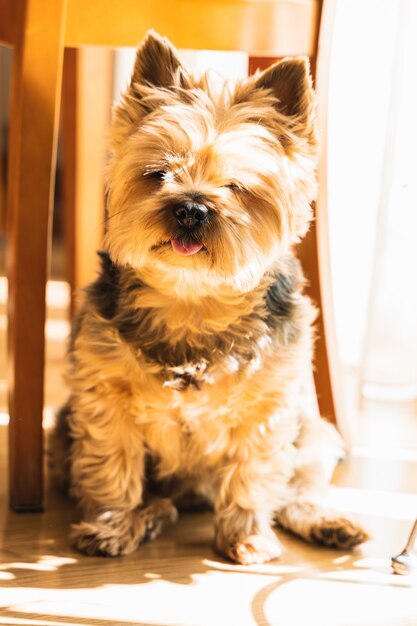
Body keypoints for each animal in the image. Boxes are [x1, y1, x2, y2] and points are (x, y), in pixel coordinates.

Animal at [49, 31, 368, 564]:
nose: (191, 208)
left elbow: (254, 473)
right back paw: (154, 513)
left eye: (237, 187)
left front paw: (245, 535)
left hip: (316, 433)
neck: (192, 298)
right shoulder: (105, 397)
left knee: (296, 491)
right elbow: (113, 465)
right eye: (158, 173)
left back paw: (328, 523)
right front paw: (113, 525)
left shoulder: (266, 407)